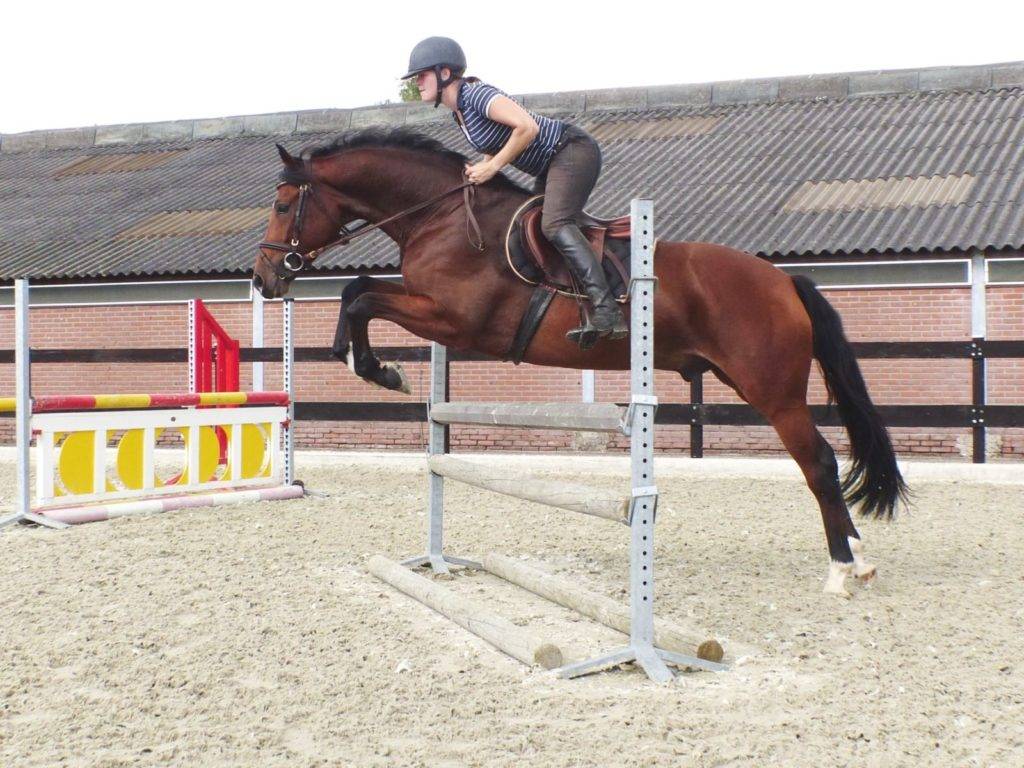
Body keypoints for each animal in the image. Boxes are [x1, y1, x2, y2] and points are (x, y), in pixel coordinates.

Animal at [251, 126, 909, 598]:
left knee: (818, 462)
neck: (440, 216)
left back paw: (843, 567)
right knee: (821, 463)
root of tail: (782, 280)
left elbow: (360, 294)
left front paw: (376, 369)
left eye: (283, 205)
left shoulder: (454, 319)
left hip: (773, 392)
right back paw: (859, 558)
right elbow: (357, 290)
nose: (263, 280)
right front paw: (370, 363)